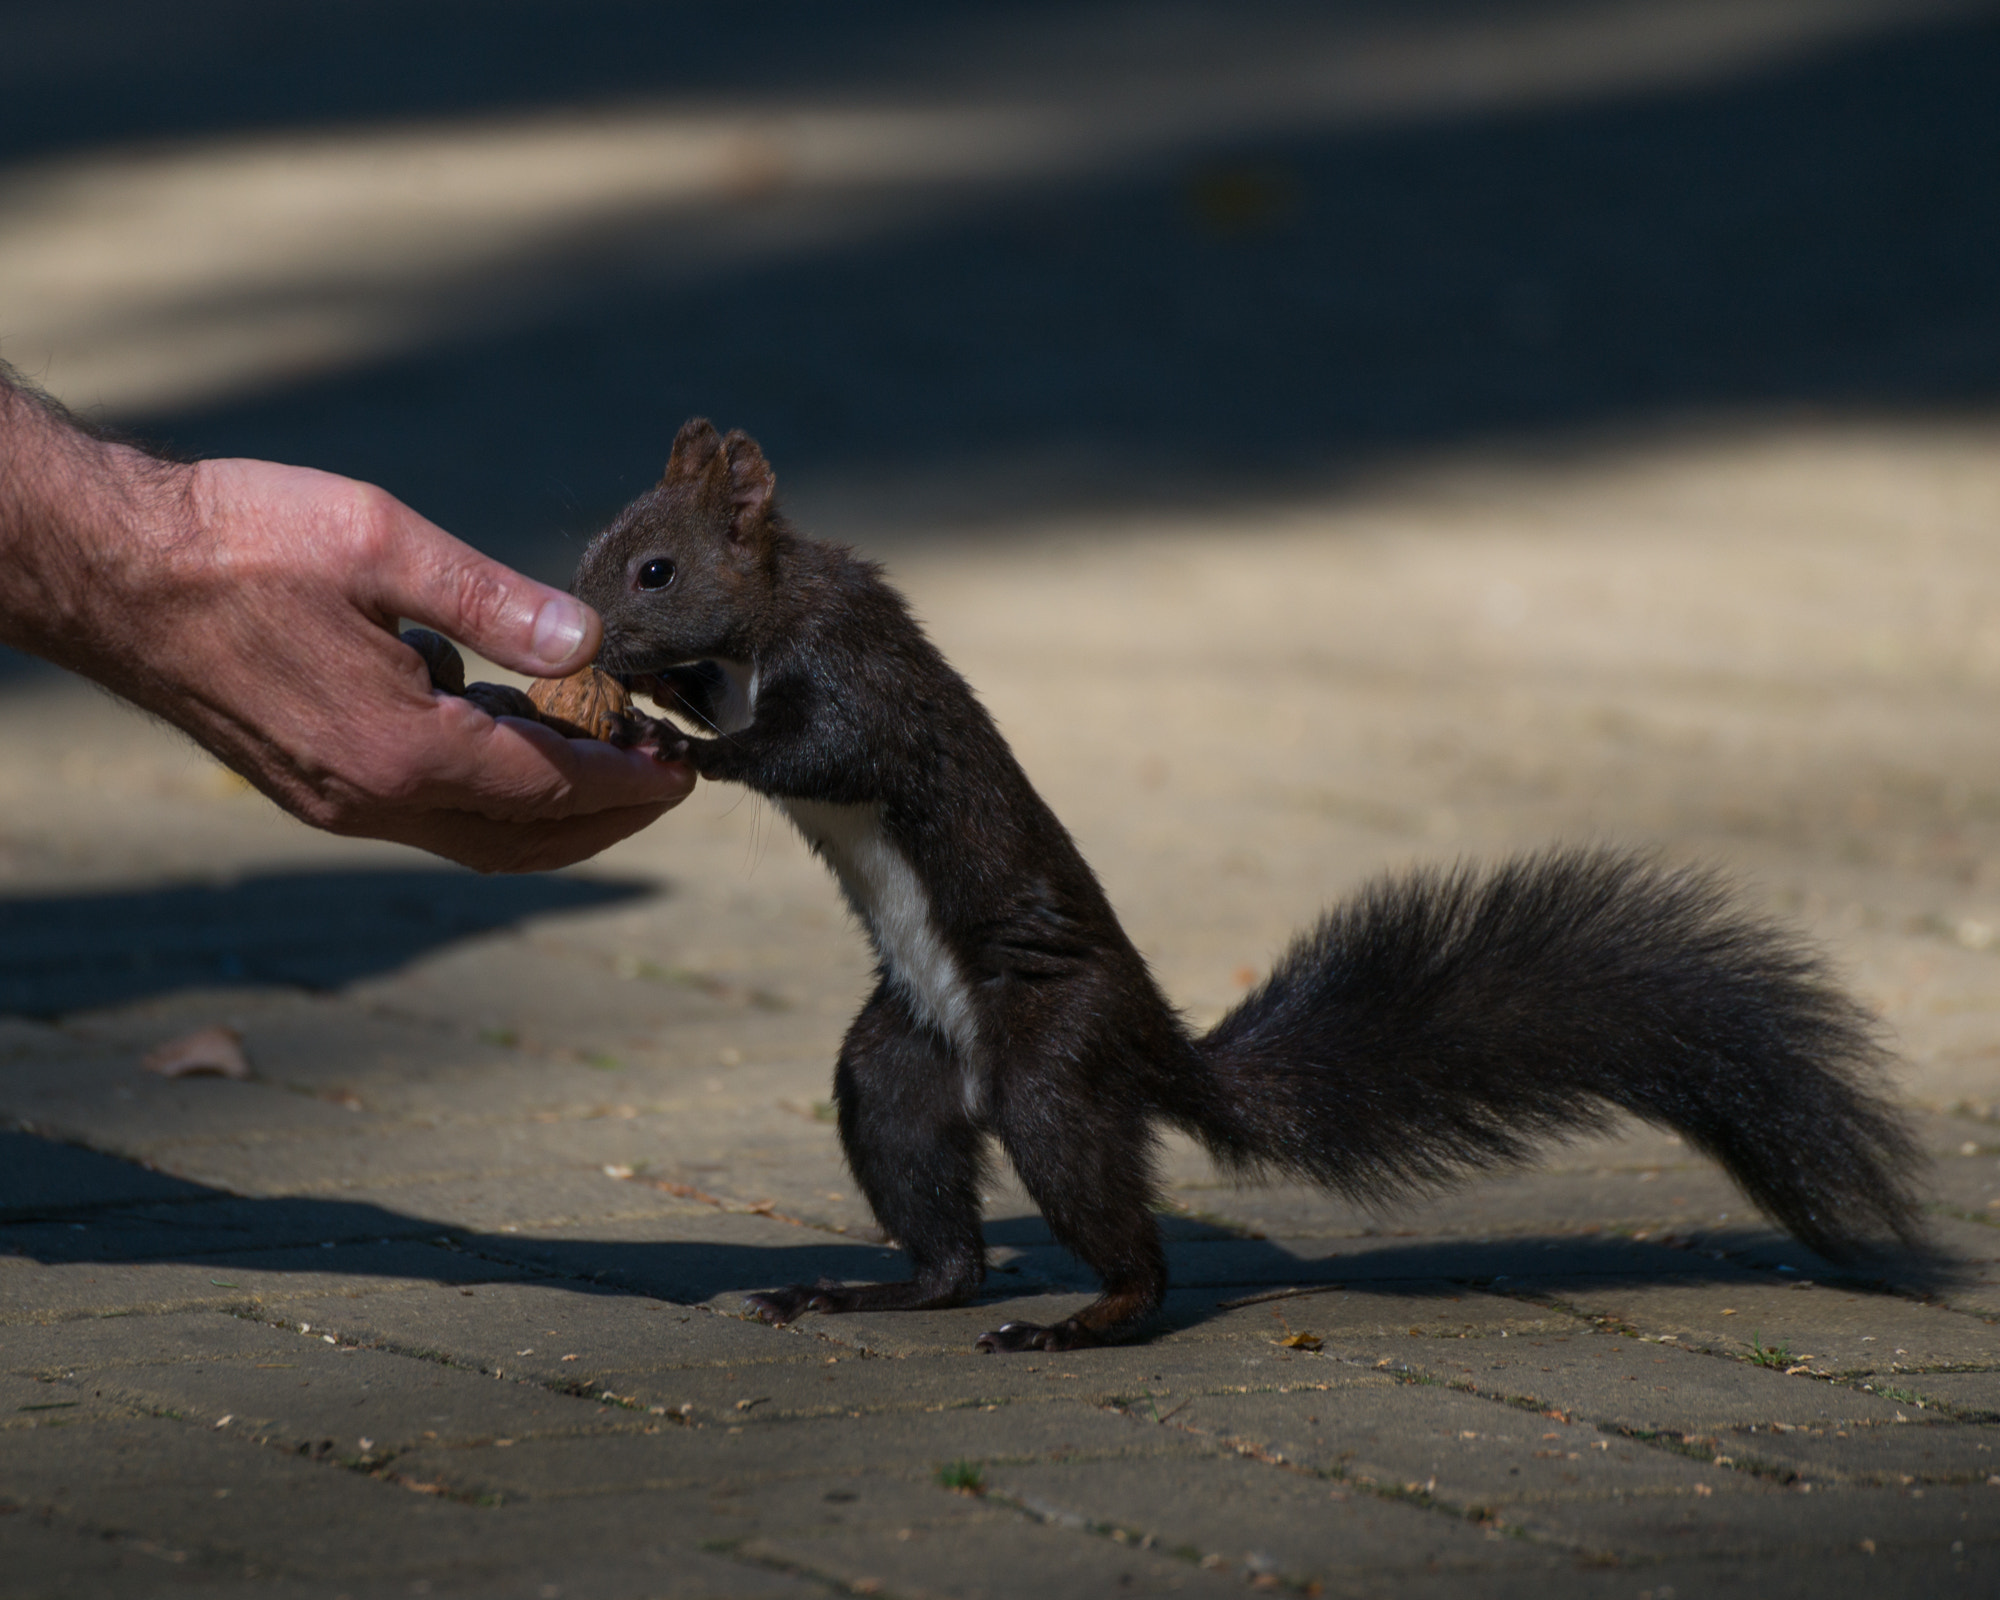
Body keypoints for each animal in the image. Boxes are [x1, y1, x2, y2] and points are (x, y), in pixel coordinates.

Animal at [556, 422, 1928, 1352]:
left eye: (656, 570)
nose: (584, 632)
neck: (766, 614)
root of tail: (1152, 1048)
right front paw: (646, 703)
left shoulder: (858, 678)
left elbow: (815, 751)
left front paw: (682, 742)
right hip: (894, 1072)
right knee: (945, 1249)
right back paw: (842, 1287)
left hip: (1048, 1068)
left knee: (1120, 1246)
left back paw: (1080, 1318)